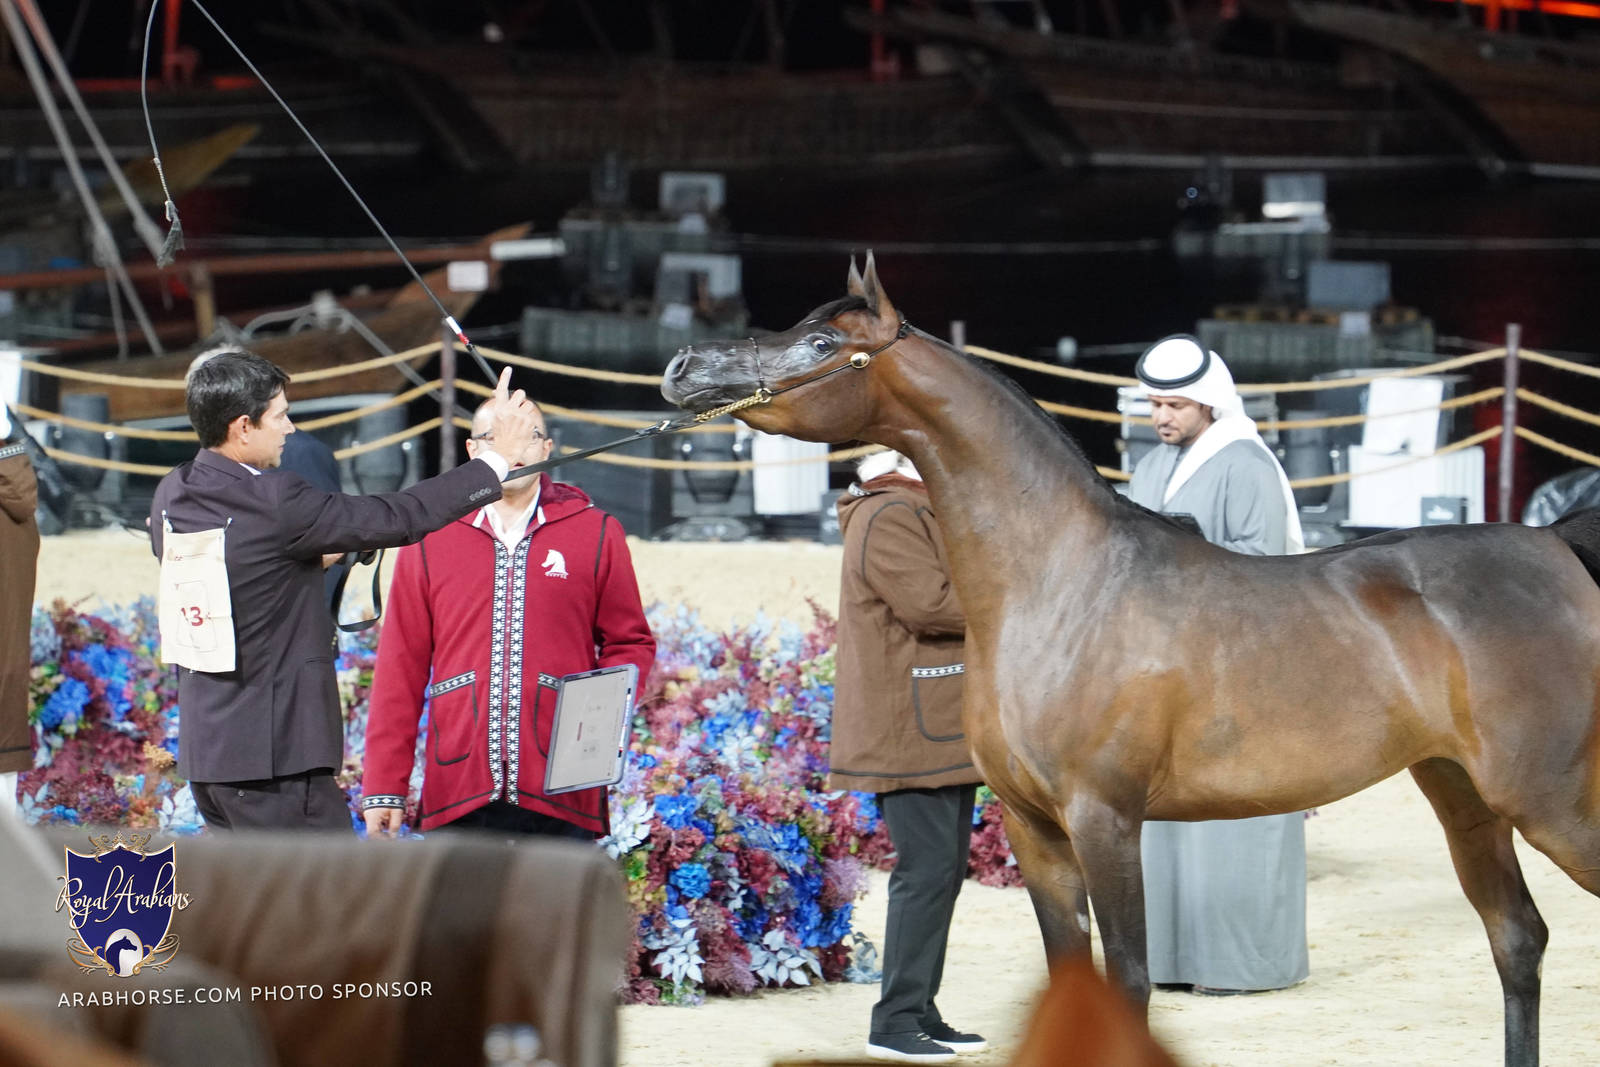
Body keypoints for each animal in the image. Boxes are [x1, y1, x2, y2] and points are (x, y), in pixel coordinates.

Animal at [661, 254, 1600, 1067]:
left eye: (824, 344)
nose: (681, 366)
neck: (1062, 582)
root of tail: (1557, 548)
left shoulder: (1104, 819)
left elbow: (1132, 984)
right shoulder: (1037, 832)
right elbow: (1069, 982)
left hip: (1550, 803)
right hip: (1465, 800)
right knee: (1518, 937)